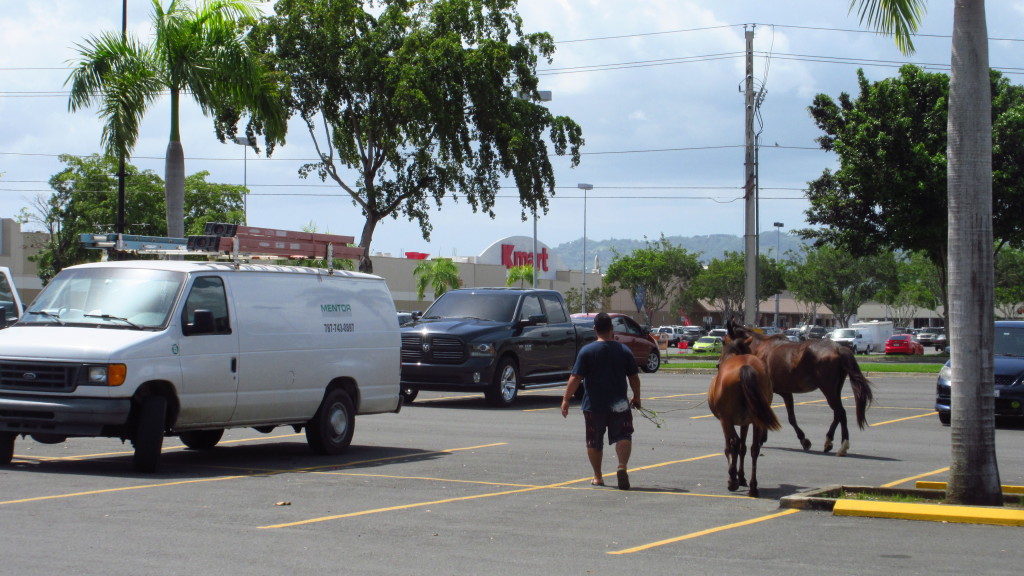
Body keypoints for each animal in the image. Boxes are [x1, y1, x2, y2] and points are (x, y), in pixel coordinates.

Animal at [708, 334, 778, 496]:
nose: (717, 365)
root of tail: (745, 368)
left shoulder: (726, 420)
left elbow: (731, 446)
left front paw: (734, 477)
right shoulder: (745, 422)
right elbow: (743, 448)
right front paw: (742, 477)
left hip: (726, 419)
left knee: (734, 442)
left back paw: (732, 481)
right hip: (757, 420)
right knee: (754, 448)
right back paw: (753, 486)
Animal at [724, 315, 876, 455]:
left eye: (724, 341)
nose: (722, 363)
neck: (760, 348)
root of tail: (838, 348)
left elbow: (783, 417)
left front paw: (802, 439)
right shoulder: (785, 393)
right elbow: (788, 416)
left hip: (828, 389)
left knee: (840, 412)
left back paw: (843, 444)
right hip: (835, 389)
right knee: (837, 414)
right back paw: (828, 441)